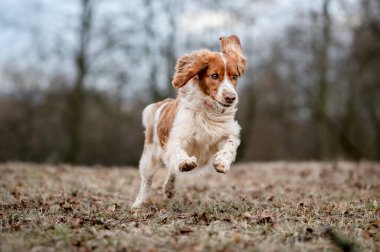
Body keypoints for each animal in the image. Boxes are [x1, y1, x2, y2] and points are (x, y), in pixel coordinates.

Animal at [133, 35, 246, 209]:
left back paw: (169, 188)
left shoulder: (225, 134)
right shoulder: (178, 136)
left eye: (234, 76)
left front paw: (222, 162)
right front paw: (186, 162)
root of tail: (162, 103)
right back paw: (139, 203)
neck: (208, 110)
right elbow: (178, 150)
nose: (230, 98)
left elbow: (230, 144)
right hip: (150, 156)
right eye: (214, 76)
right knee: (147, 179)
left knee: (171, 169)